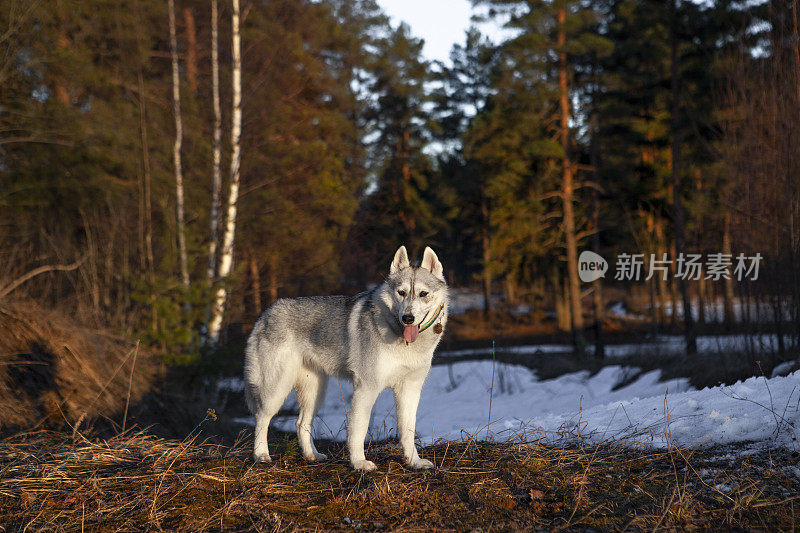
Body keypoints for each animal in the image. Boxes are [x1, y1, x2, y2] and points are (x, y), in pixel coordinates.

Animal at [244, 245, 446, 470]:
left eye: (423, 294)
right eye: (401, 293)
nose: (408, 318)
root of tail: (266, 313)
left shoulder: (410, 389)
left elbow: (408, 431)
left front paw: (414, 461)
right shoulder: (366, 388)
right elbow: (358, 430)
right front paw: (359, 463)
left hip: (315, 391)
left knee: (301, 423)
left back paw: (312, 455)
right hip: (277, 389)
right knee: (261, 418)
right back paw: (261, 455)